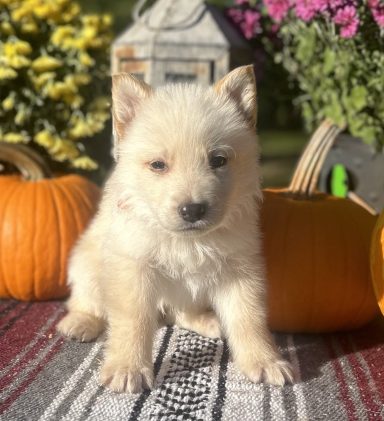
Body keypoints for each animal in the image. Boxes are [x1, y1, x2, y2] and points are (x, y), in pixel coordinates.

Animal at [57, 65, 292, 390]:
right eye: (158, 165)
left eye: (218, 160)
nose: (192, 210)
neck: (186, 242)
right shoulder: (133, 268)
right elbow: (133, 320)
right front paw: (128, 367)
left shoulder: (240, 270)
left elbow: (249, 318)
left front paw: (265, 360)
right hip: (86, 263)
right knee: (87, 299)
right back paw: (80, 322)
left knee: (181, 312)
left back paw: (209, 321)